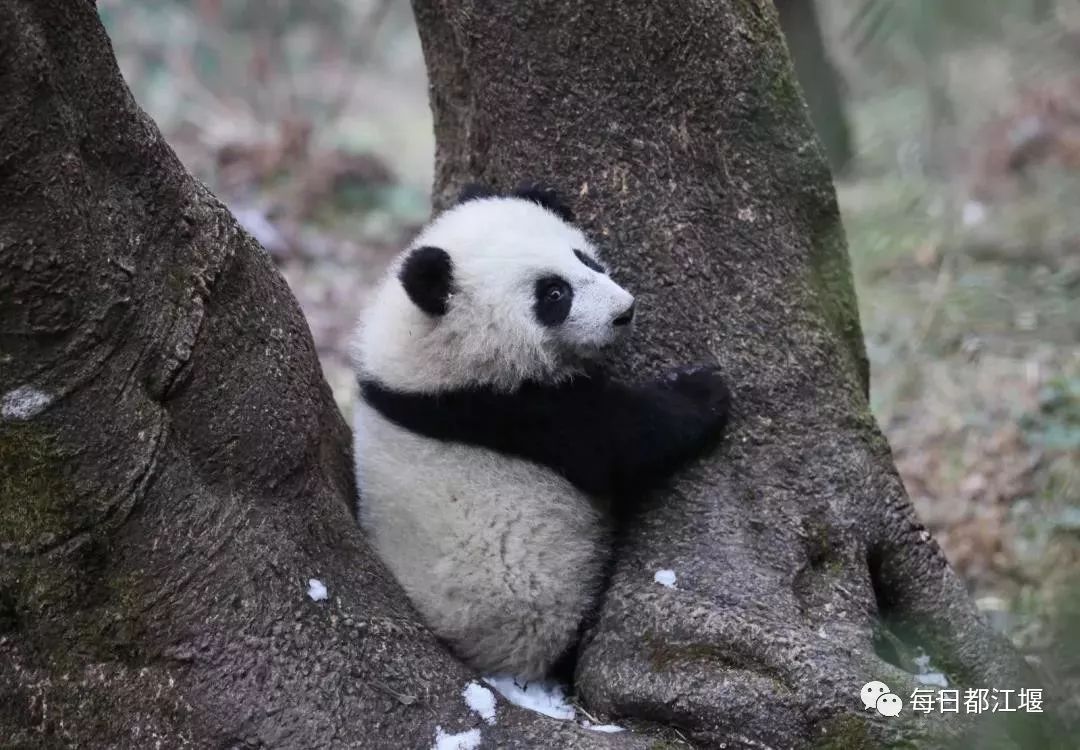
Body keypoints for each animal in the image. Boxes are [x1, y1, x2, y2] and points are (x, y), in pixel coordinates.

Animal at [349, 183, 730, 682]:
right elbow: (616, 438)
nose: (624, 312)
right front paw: (703, 391)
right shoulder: (500, 409)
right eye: (553, 293)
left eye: (585, 259)